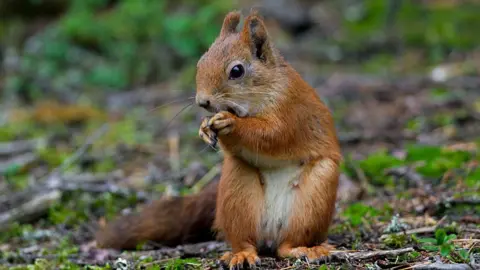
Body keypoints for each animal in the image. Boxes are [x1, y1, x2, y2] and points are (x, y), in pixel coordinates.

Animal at [94, 9, 342, 268]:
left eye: (237, 71)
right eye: (200, 62)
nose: (202, 101)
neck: (262, 91)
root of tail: (271, 236)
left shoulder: (291, 111)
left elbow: (273, 134)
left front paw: (231, 123)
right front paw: (204, 127)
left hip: (316, 196)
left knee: (286, 245)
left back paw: (305, 249)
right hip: (236, 189)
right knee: (245, 240)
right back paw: (241, 254)